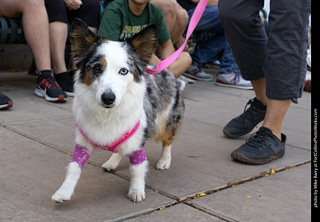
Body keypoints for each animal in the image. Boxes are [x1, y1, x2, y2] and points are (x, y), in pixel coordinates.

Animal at [51, 19, 184, 203]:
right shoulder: (83, 142)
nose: (108, 98)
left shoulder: (137, 142)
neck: (108, 114)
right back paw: (112, 162)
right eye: (97, 68)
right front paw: (64, 191)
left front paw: (136, 190)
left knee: (168, 140)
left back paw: (165, 160)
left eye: (124, 71)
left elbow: (137, 168)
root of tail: (166, 71)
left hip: (166, 120)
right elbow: (74, 167)